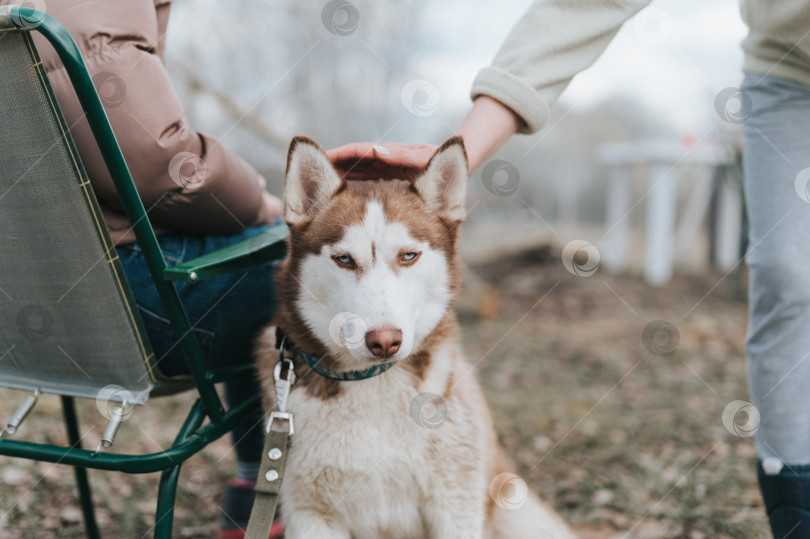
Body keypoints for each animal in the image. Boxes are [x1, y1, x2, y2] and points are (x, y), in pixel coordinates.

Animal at [256, 137, 572, 536]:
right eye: (344, 259)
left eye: (409, 255)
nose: (384, 340)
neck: (371, 381)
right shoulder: (308, 513)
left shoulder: (455, 503)